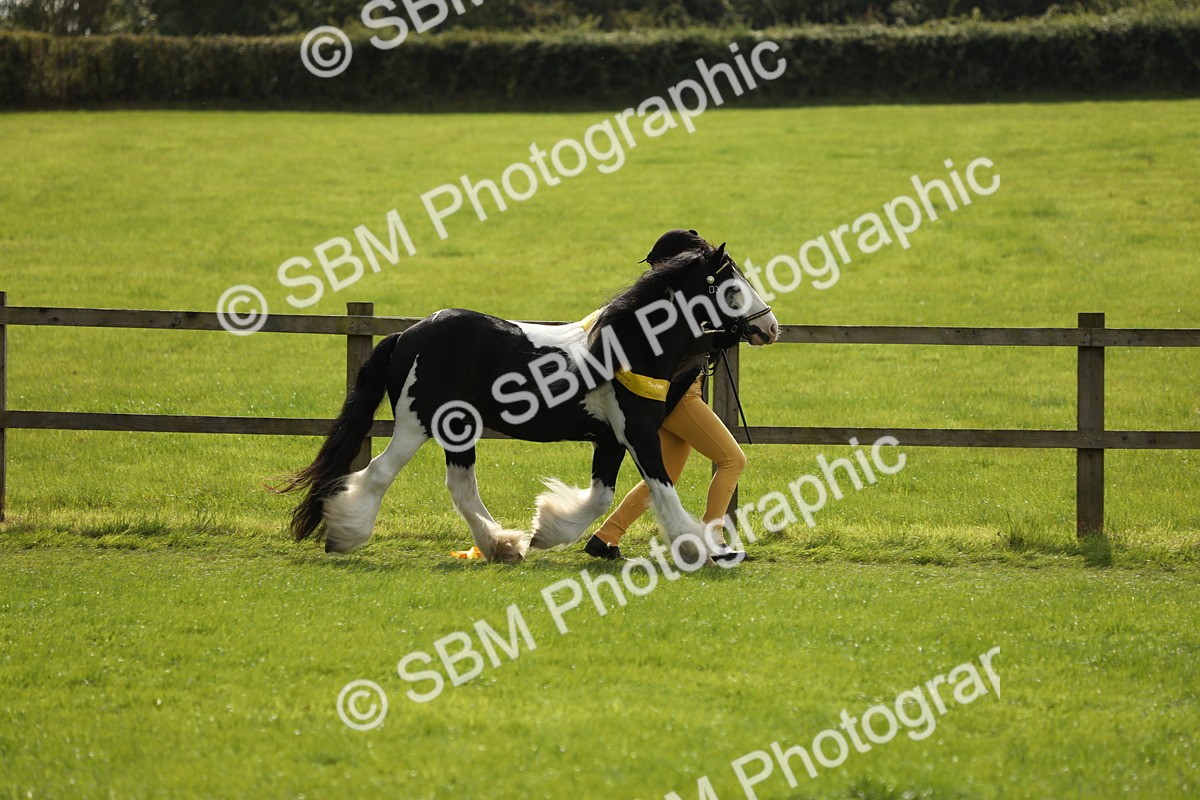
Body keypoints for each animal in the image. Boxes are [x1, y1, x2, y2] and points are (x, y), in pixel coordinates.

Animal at [278, 241, 779, 563]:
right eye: (732, 287)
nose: (770, 327)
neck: (626, 346)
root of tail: (407, 335)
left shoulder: (610, 439)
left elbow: (602, 496)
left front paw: (547, 531)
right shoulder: (637, 433)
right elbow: (663, 490)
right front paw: (700, 548)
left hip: (458, 429)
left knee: (461, 486)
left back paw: (503, 545)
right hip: (416, 424)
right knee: (380, 472)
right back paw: (344, 534)